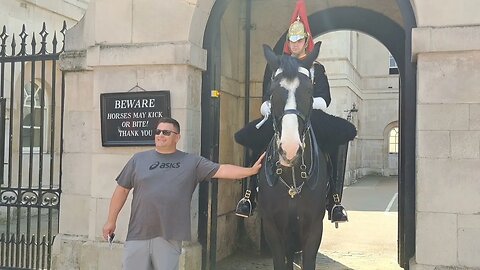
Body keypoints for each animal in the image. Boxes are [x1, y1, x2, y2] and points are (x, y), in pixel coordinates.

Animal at [256, 42, 328, 270]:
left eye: (309, 90)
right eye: (272, 91)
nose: (289, 149)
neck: (292, 178)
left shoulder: (313, 229)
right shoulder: (273, 229)